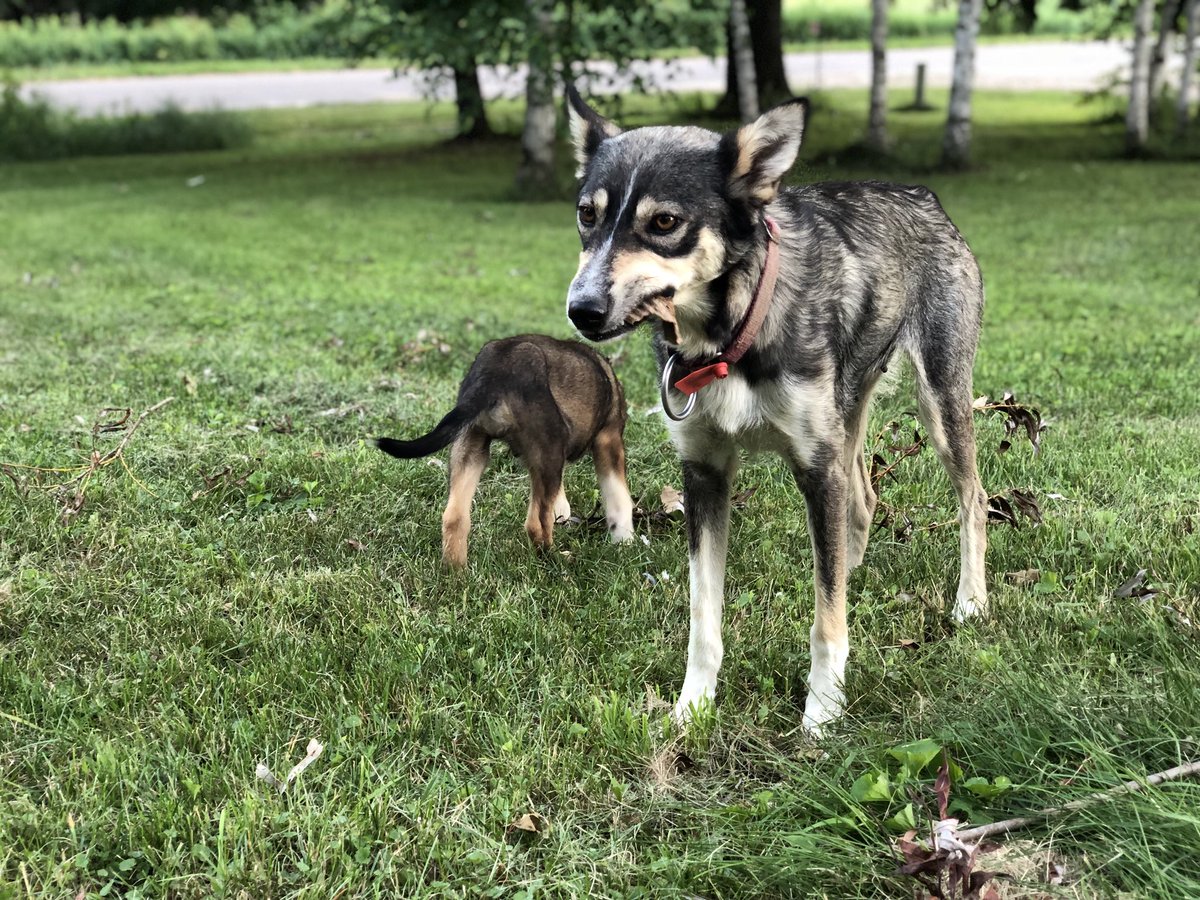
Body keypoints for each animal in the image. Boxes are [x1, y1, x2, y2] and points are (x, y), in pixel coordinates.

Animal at [374, 336, 638, 566]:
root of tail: (494, 370)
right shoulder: (609, 439)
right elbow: (619, 497)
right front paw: (625, 541)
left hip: (471, 445)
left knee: (454, 518)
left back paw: (456, 575)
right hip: (549, 449)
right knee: (535, 524)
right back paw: (556, 560)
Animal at [561, 88, 984, 734]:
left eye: (664, 223)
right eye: (588, 214)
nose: (581, 309)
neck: (727, 337)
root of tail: (923, 196)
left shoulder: (815, 466)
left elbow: (825, 622)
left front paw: (823, 712)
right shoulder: (706, 473)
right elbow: (703, 616)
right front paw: (692, 706)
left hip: (939, 404)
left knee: (973, 500)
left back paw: (970, 601)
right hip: (847, 416)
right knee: (861, 502)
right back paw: (852, 568)